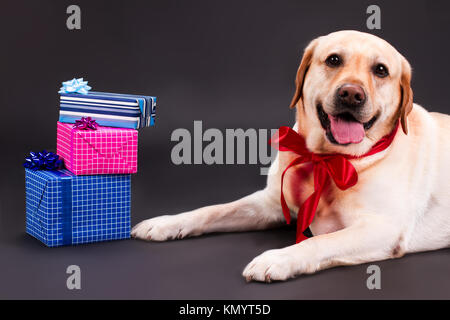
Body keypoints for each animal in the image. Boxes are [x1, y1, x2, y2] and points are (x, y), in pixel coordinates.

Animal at [131, 29, 450, 280]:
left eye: (381, 70)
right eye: (334, 60)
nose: (351, 94)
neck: (330, 157)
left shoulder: (384, 228)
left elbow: (318, 242)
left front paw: (278, 258)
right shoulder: (270, 202)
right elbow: (211, 210)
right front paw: (167, 222)